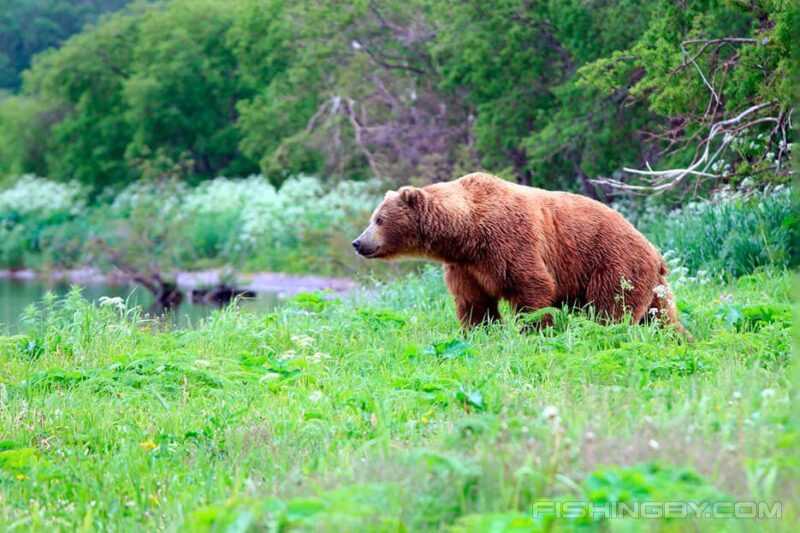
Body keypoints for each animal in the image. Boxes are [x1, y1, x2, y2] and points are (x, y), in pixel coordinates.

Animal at [354, 174, 684, 332]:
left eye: (379, 219)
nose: (358, 242)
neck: (466, 233)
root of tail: (655, 251)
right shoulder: (465, 266)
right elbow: (474, 303)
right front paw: (480, 332)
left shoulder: (509, 242)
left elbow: (532, 288)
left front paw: (534, 330)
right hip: (651, 283)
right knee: (661, 317)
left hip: (613, 263)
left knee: (612, 309)